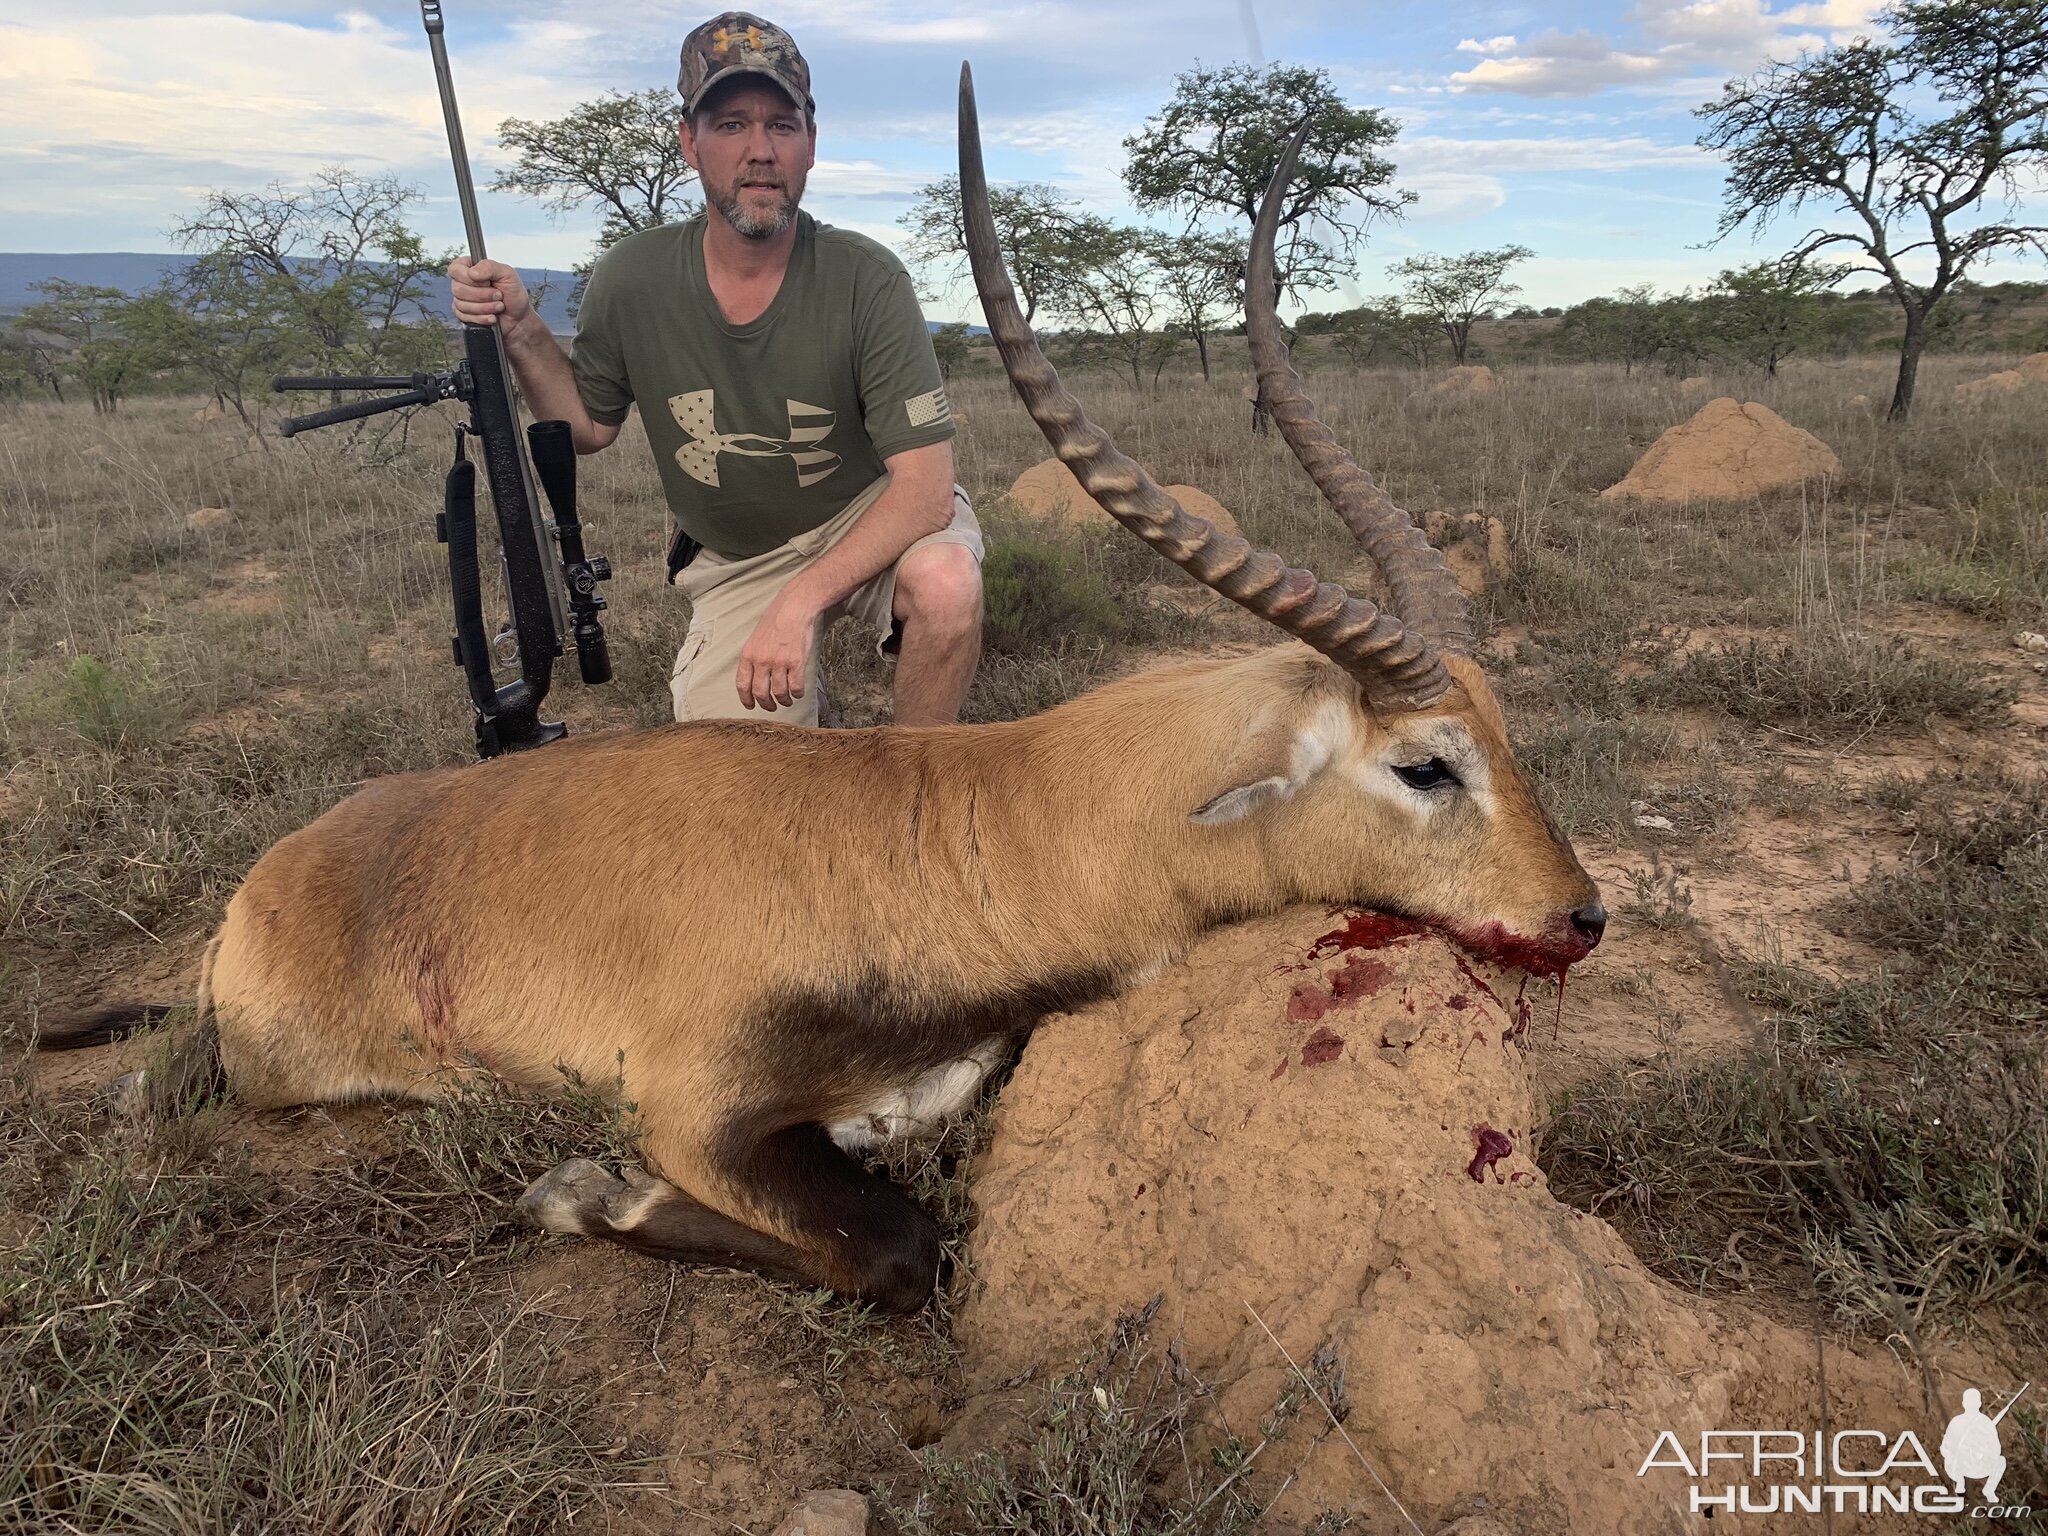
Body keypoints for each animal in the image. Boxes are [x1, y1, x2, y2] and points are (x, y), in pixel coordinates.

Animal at [36, 72, 1597, 1318]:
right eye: (1426, 763)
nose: (1578, 916)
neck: (962, 828)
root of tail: (274, 882)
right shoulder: (701, 1111)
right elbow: (898, 1251)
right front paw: (577, 1194)